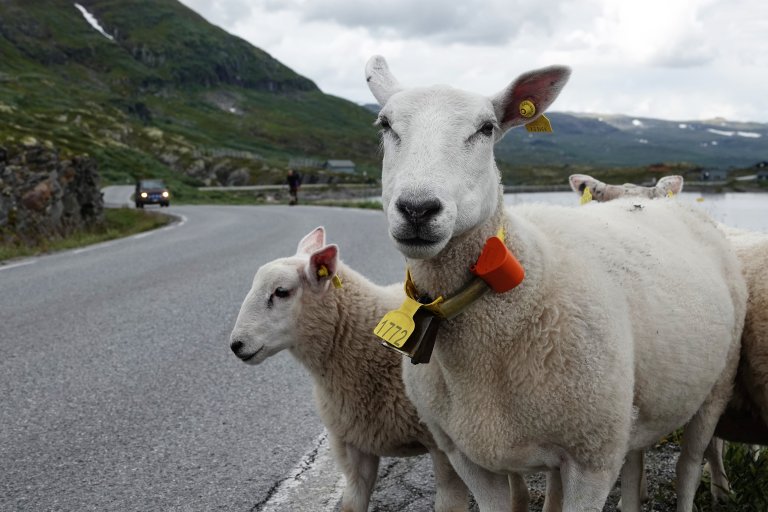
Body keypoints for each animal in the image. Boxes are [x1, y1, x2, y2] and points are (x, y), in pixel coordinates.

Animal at [366, 56, 752, 512]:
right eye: (385, 124)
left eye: (486, 128)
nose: (417, 209)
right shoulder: (468, 456)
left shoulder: (592, 456)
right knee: (636, 462)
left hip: (714, 387)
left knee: (689, 466)